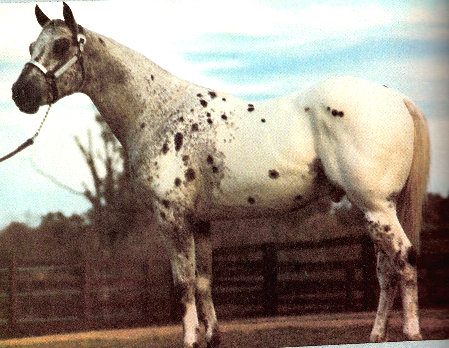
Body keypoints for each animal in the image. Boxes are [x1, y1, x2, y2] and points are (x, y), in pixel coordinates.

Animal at [11, 3, 430, 348]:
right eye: (32, 46)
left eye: (62, 45)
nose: (20, 94)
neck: (159, 111)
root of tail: (396, 98)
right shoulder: (201, 221)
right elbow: (203, 281)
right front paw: (211, 337)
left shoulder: (172, 218)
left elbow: (182, 284)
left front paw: (190, 340)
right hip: (376, 210)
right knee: (387, 270)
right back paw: (376, 336)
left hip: (375, 206)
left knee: (405, 259)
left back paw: (411, 333)